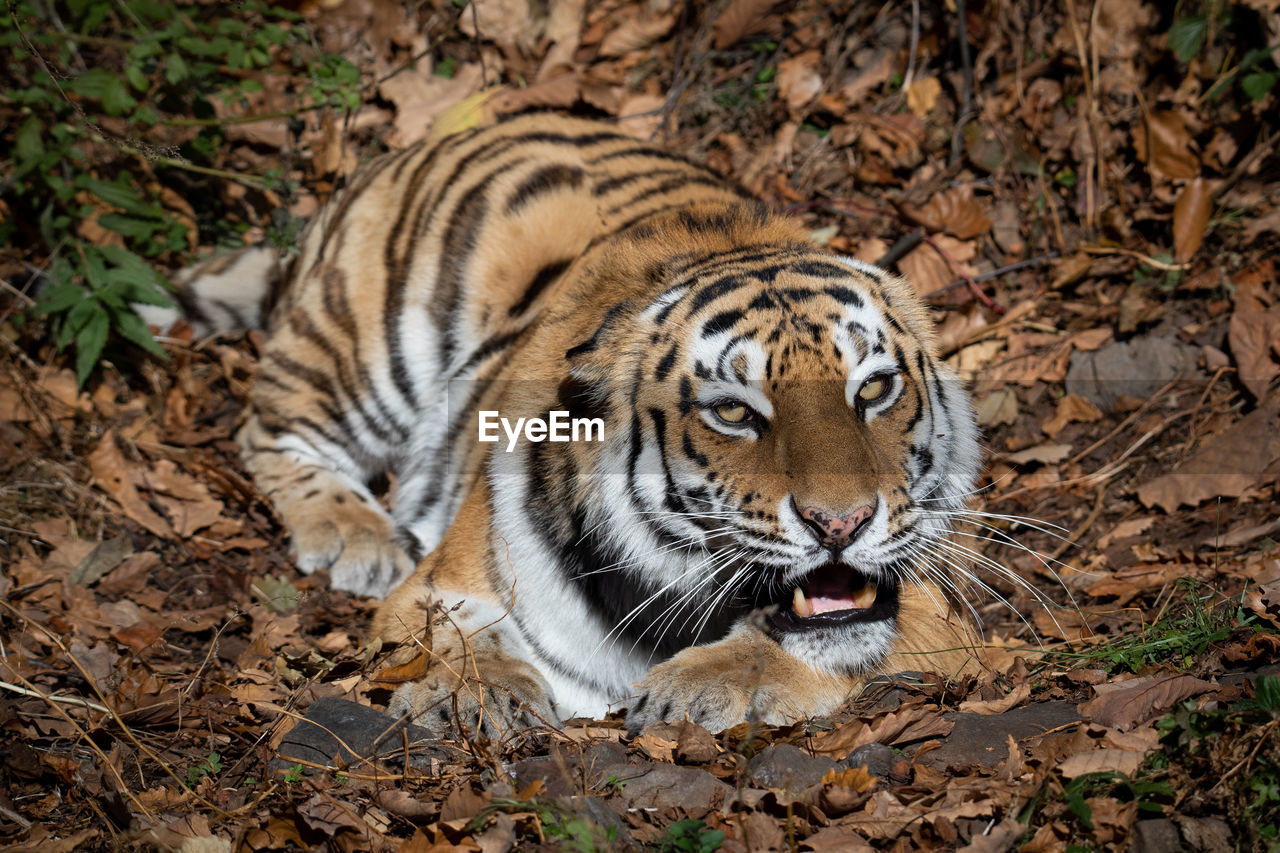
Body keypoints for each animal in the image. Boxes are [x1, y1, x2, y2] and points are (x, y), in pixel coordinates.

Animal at [162, 111, 977, 732]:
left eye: (874, 390)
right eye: (733, 411)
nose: (841, 523)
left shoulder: (945, 616)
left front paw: (702, 688)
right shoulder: (435, 588)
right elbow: (459, 637)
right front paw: (484, 696)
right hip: (363, 341)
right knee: (269, 426)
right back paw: (352, 535)